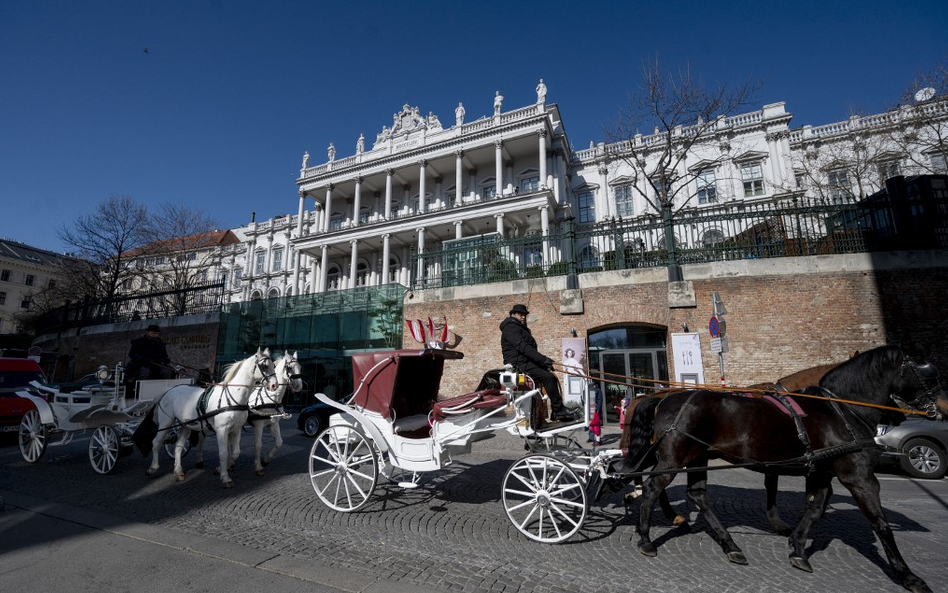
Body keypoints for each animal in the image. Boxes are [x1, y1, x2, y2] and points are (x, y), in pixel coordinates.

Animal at [144, 346, 276, 486]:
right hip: (166, 422)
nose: (274, 385)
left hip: (186, 425)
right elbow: (223, 453)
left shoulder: (236, 429)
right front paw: (225, 477)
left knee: (178, 447)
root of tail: (169, 389)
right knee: (156, 442)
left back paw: (178, 472)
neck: (232, 397)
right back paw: (152, 468)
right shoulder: (222, 430)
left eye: (273, 365)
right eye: (264, 365)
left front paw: (220, 469)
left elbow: (235, 452)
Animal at [624, 344, 944, 588]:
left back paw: (728, 544)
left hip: (695, 456)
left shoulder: (820, 471)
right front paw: (907, 575)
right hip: (675, 456)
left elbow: (814, 507)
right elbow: (880, 523)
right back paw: (647, 537)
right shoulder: (858, 475)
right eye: (930, 375)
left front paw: (797, 546)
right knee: (653, 486)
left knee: (696, 494)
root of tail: (660, 398)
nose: (941, 410)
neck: (838, 409)